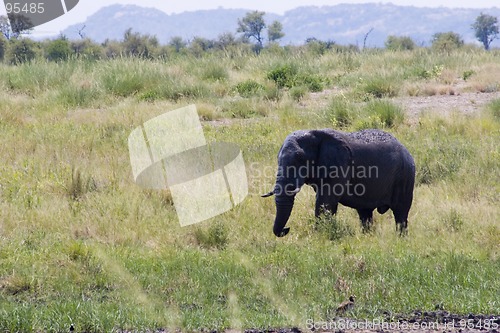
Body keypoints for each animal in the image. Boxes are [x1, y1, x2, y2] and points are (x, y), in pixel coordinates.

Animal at [260, 129, 416, 236]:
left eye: (300, 159)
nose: (286, 229)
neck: (315, 134)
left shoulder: (339, 166)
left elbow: (325, 201)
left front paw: (320, 236)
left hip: (405, 177)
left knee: (401, 212)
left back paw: (400, 239)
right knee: (365, 213)